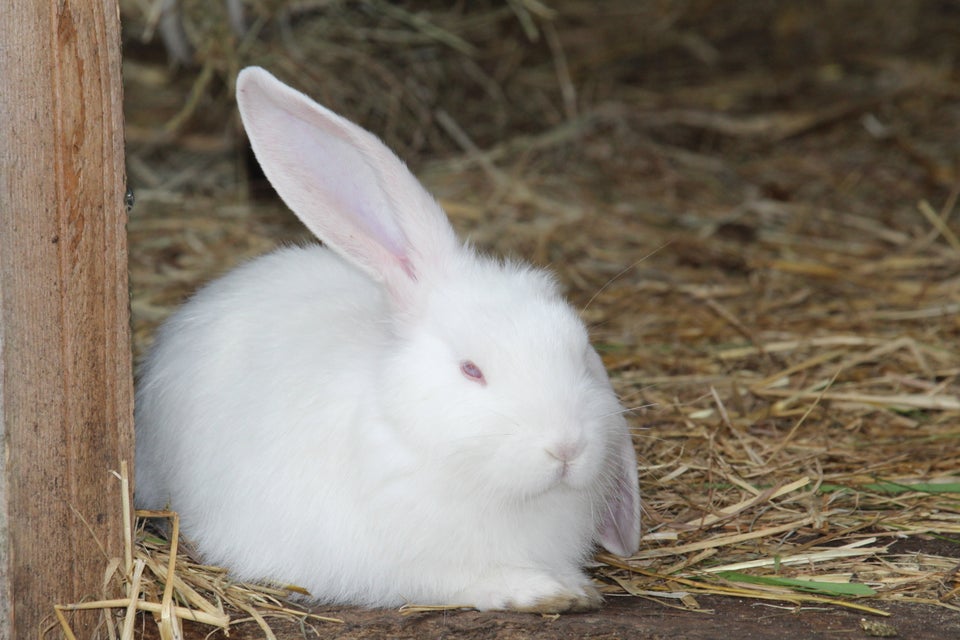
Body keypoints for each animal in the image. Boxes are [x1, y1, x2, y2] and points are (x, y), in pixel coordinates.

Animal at [135, 67, 640, 612]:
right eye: (471, 369)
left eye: (580, 353)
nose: (567, 447)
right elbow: (459, 578)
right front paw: (545, 591)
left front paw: (574, 589)